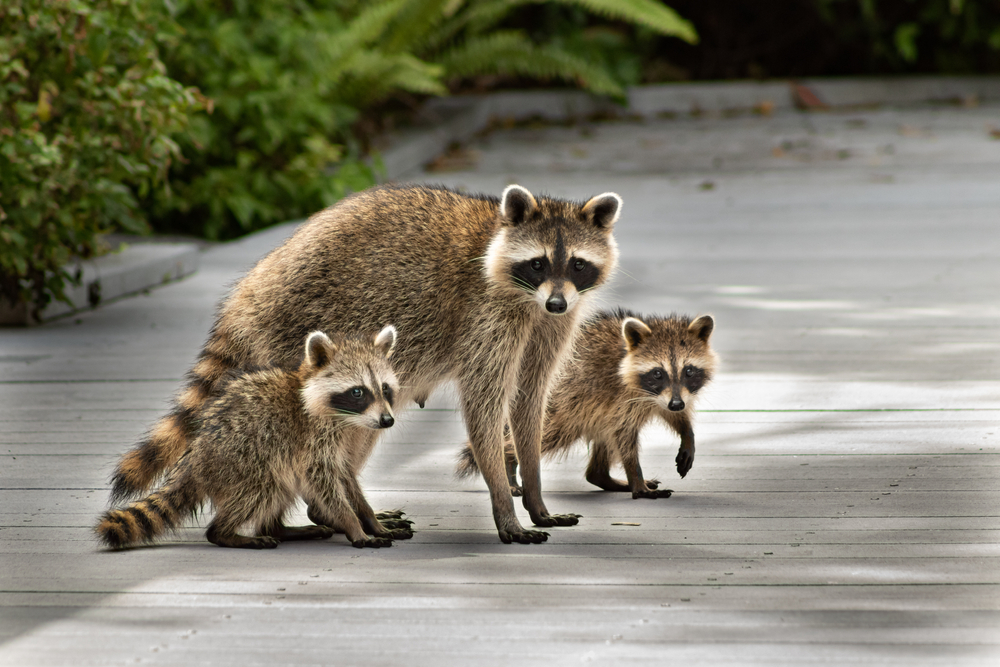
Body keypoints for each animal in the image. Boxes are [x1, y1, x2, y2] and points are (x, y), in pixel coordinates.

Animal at [93, 326, 406, 552]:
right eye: (358, 392)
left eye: (385, 388)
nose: (387, 421)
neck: (344, 418)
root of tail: (194, 458)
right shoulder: (311, 439)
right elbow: (323, 482)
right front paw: (353, 525)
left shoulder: (344, 442)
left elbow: (346, 478)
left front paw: (369, 518)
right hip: (240, 459)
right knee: (263, 487)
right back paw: (226, 533)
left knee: (281, 488)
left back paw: (278, 529)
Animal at [458, 314, 716, 500]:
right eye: (658, 373)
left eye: (689, 370)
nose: (677, 404)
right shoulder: (622, 397)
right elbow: (624, 437)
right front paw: (636, 479)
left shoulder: (664, 397)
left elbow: (671, 414)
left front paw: (687, 433)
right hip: (562, 405)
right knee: (542, 435)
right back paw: (508, 461)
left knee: (603, 438)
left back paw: (602, 477)